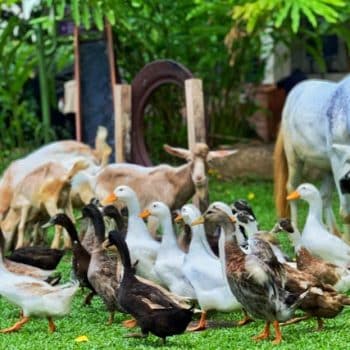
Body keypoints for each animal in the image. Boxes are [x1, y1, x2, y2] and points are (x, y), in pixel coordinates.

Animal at [274, 75, 350, 242]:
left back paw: (333, 233)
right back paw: (294, 234)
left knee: (324, 197)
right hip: (295, 160)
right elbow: (346, 213)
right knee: (291, 190)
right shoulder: (339, 163)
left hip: (328, 168)